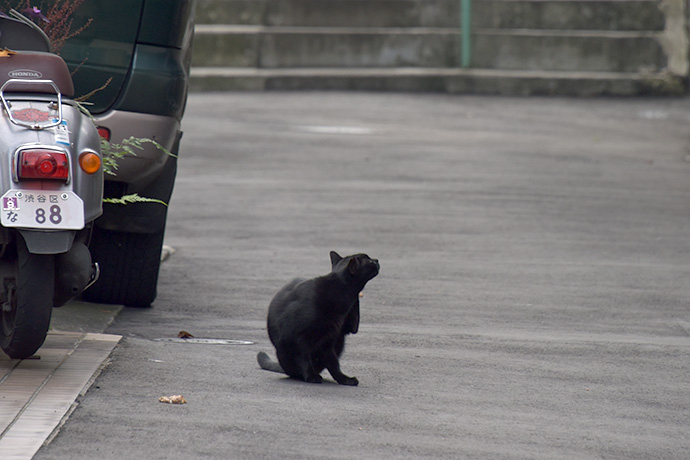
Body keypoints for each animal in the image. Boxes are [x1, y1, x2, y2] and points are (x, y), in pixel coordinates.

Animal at [255, 252, 378, 384]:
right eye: (369, 261)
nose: (377, 260)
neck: (339, 292)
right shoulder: (299, 337)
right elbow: (305, 359)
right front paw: (311, 376)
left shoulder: (334, 336)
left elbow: (334, 364)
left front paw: (343, 379)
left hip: (337, 339)